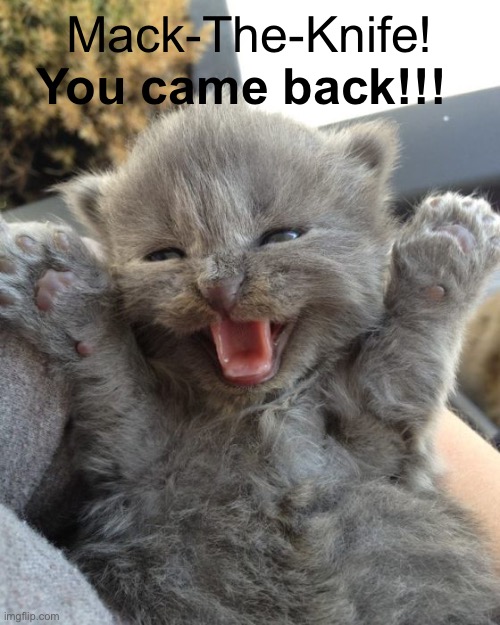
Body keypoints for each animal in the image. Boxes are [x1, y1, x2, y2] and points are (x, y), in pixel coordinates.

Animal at [1, 102, 500, 624]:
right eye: (164, 255)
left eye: (283, 236)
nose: (219, 284)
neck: (258, 413)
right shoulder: (136, 467)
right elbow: (120, 389)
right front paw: (62, 292)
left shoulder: (386, 452)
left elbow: (403, 366)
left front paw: (444, 254)